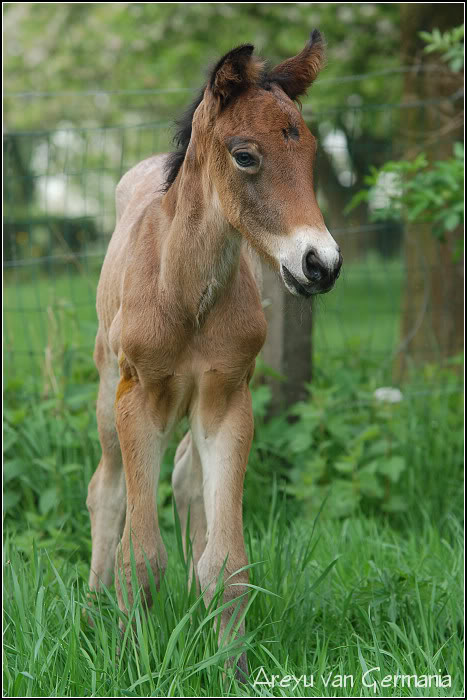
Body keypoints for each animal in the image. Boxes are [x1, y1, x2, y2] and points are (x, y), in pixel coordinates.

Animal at [86, 30, 342, 676]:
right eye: (245, 156)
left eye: (310, 155)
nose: (321, 265)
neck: (184, 294)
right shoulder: (137, 397)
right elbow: (140, 557)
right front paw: (131, 660)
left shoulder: (228, 398)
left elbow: (227, 562)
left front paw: (230, 667)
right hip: (105, 392)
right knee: (107, 490)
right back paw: (93, 607)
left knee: (186, 480)